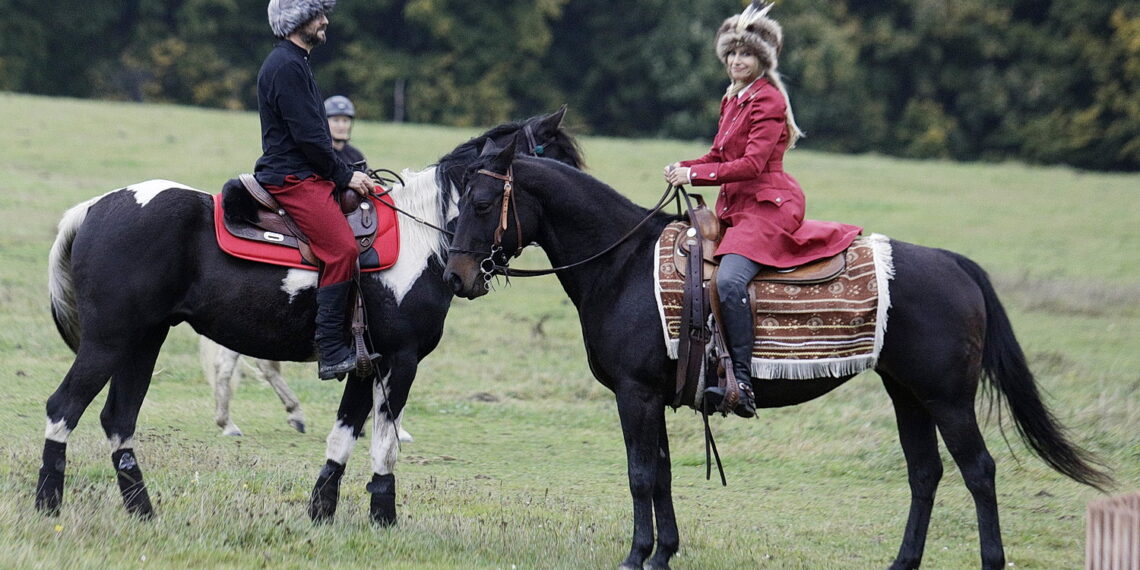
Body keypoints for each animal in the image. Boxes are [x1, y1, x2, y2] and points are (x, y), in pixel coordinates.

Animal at [39, 108, 583, 522]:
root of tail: (95, 207)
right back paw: (49, 504)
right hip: (109, 341)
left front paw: (321, 512)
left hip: (143, 342)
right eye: (561, 165)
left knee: (119, 419)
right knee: (64, 407)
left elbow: (343, 437)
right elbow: (384, 444)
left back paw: (143, 511)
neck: (422, 236)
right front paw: (383, 519)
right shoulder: (400, 360)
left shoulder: (366, 365)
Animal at [442, 145, 1112, 570]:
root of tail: (955, 263)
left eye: (481, 204)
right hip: (908, 395)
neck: (621, 265)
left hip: (947, 399)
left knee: (979, 472)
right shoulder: (653, 397)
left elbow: (639, 475)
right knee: (926, 474)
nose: (455, 276)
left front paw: (636, 556)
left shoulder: (635, 394)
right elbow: (660, 473)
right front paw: (663, 553)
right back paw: (901, 562)